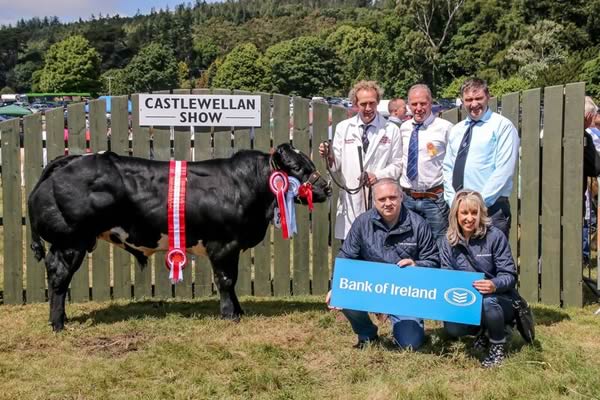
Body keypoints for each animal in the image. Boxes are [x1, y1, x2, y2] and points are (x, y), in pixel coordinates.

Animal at [25, 144, 330, 332]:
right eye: (297, 167)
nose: (326, 187)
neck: (244, 186)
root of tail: (71, 159)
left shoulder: (230, 248)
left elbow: (231, 281)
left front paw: (239, 310)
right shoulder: (223, 244)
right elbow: (226, 280)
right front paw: (230, 314)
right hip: (70, 242)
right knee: (59, 276)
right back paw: (58, 323)